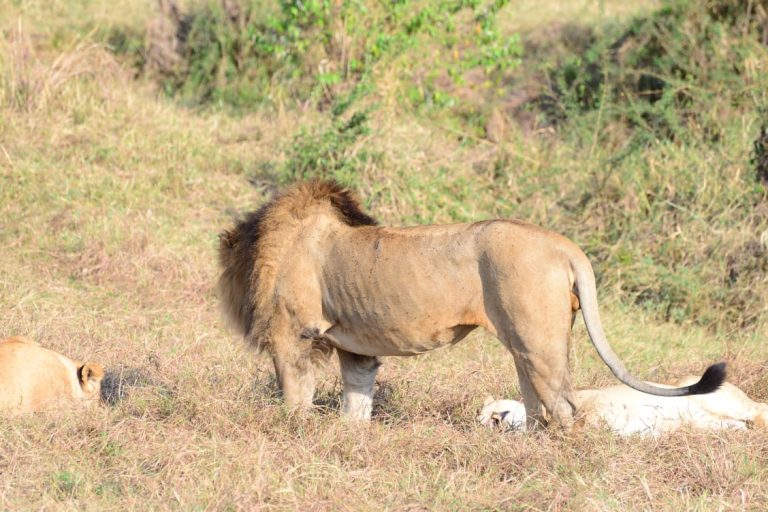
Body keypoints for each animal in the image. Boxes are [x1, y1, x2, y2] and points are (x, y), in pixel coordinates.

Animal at [218, 179, 725, 428]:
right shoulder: (356, 350)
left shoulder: (293, 334)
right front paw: (348, 440)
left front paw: (295, 433)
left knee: (565, 408)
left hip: (538, 343)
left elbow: (295, 397)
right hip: (527, 348)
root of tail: (566, 247)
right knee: (538, 408)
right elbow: (355, 405)